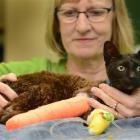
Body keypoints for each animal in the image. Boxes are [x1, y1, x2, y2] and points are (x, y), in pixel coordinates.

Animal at [0, 41, 139, 123]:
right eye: (121, 68)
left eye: (138, 68)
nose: (133, 77)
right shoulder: (82, 93)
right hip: (44, 90)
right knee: (9, 111)